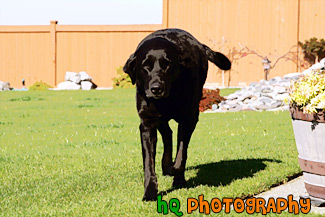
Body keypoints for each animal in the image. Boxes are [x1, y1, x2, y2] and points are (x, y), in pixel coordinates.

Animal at [122, 28, 230, 202]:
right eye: (146, 65)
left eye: (167, 65)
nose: (156, 88)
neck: (168, 98)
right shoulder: (147, 124)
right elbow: (149, 163)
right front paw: (150, 191)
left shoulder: (189, 119)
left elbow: (181, 155)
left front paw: (174, 171)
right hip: (159, 120)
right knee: (168, 134)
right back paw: (166, 165)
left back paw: (175, 175)